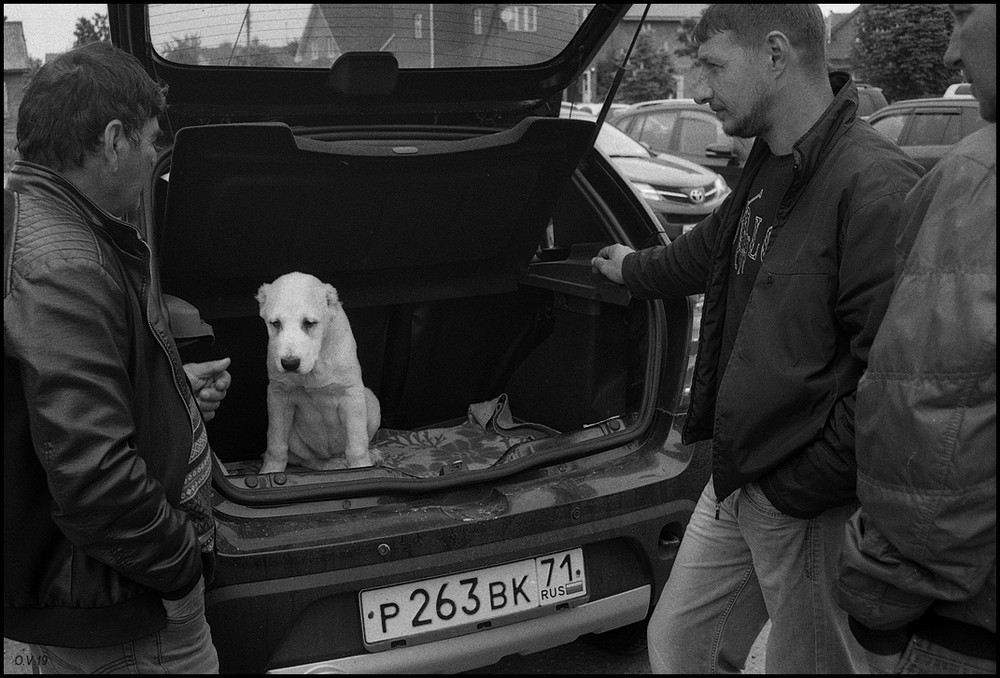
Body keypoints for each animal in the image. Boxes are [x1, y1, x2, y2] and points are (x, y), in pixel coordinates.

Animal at [258, 270, 382, 472]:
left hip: (371, 401)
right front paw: (269, 471)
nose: (289, 363)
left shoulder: (350, 394)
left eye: (309, 323)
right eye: (275, 323)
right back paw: (332, 464)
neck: (315, 366)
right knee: (307, 460)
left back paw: (371, 455)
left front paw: (362, 468)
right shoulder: (278, 396)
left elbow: (357, 443)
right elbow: (276, 443)